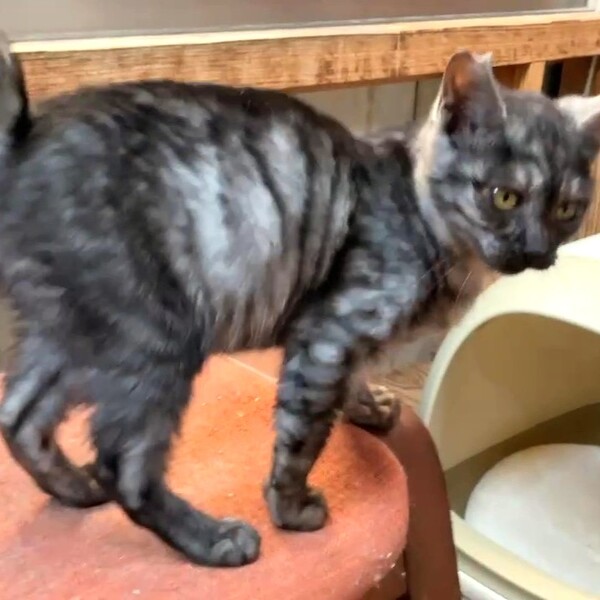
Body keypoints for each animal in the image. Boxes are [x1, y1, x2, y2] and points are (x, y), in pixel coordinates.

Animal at [0, 40, 598, 567]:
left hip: (78, 332)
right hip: (152, 337)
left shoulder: (340, 348)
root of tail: (27, 137)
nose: (537, 251)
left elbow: (350, 387)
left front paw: (369, 407)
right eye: (505, 197)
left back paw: (74, 489)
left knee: (19, 416)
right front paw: (289, 509)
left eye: (567, 209)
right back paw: (213, 540)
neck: (439, 242)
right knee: (122, 465)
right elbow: (303, 435)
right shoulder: (327, 339)